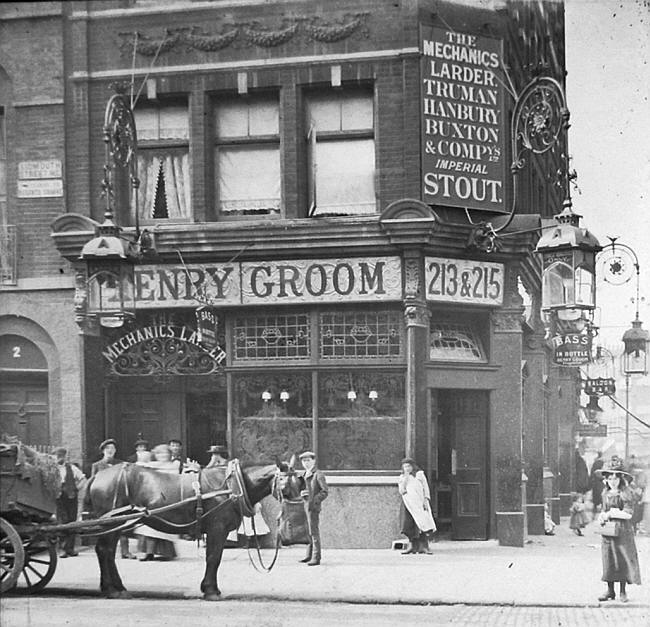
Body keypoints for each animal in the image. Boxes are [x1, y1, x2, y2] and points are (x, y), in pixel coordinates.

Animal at [87, 458, 280, 600]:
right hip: (111, 523)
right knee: (105, 550)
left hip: (118, 524)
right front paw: (210, 590)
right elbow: (214, 557)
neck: (233, 486)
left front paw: (210, 588)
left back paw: (117, 587)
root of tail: (97, 475)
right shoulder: (217, 528)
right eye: (288, 478)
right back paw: (111, 589)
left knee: (108, 551)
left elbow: (213, 557)